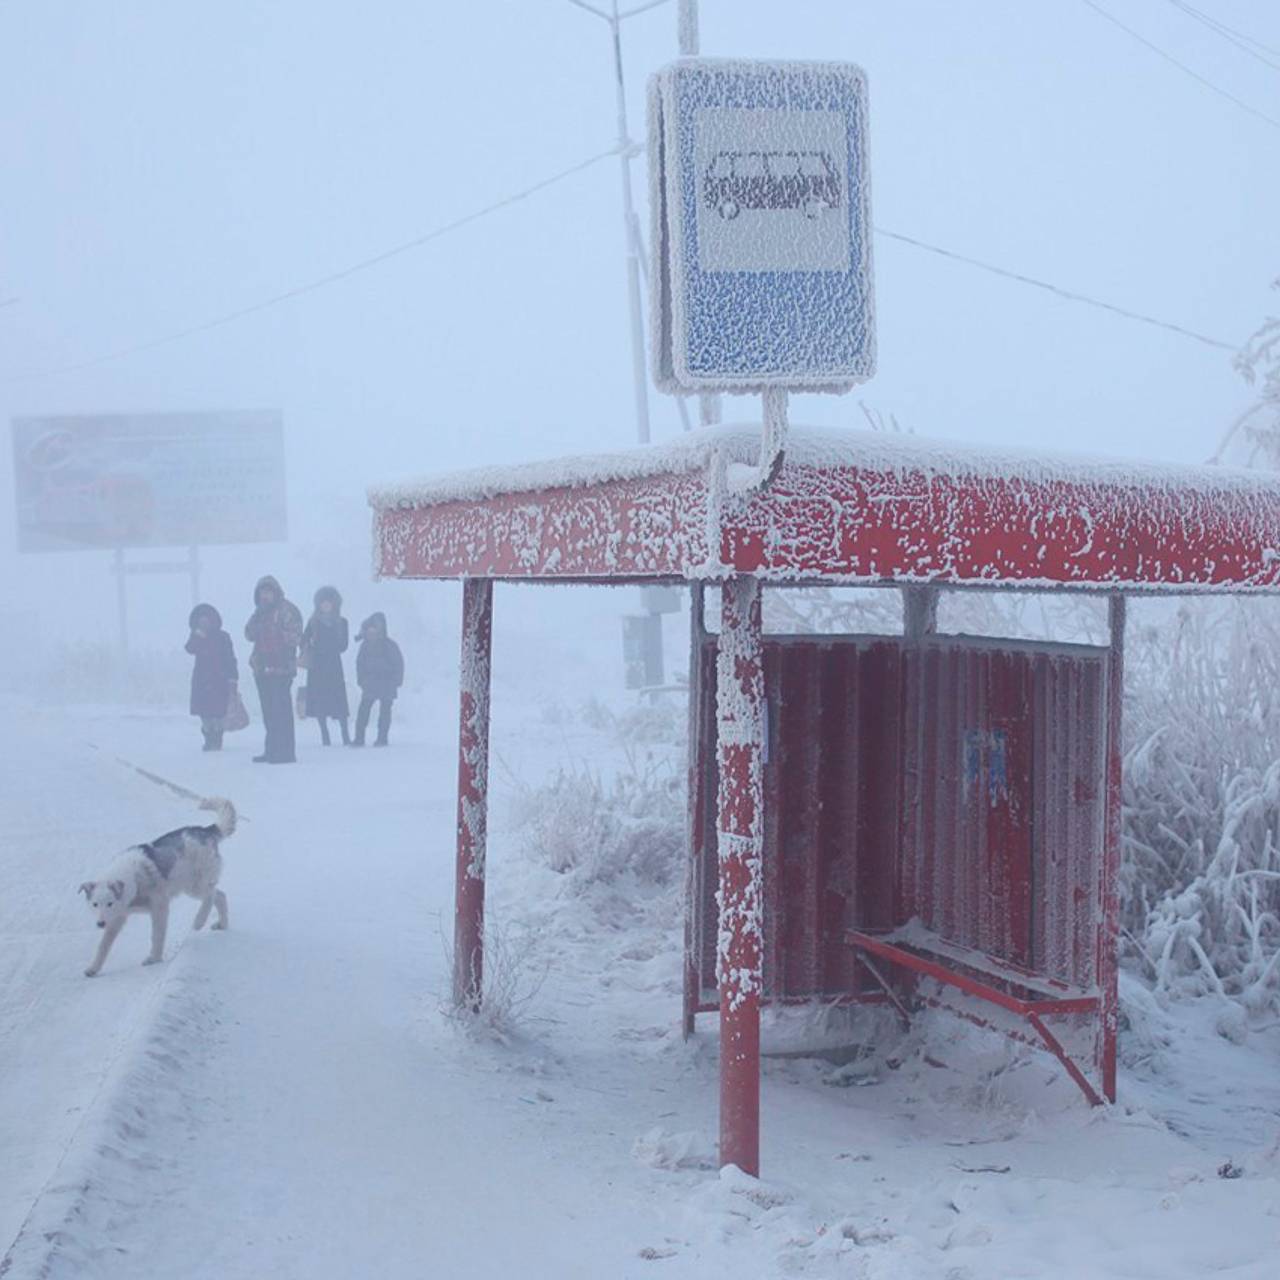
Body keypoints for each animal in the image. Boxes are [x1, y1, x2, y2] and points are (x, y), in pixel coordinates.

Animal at [79, 793, 238, 972]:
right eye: (95, 904)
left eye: (110, 903)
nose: (100, 923)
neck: (133, 880)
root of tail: (206, 830)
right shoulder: (117, 919)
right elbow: (103, 946)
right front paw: (93, 969)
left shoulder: (160, 907)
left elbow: (157, 936)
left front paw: (154, 959)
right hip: (193, 885)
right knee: (220, 895)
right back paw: (222, 924)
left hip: (194, 885)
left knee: (211, 896)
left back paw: (199, 921)